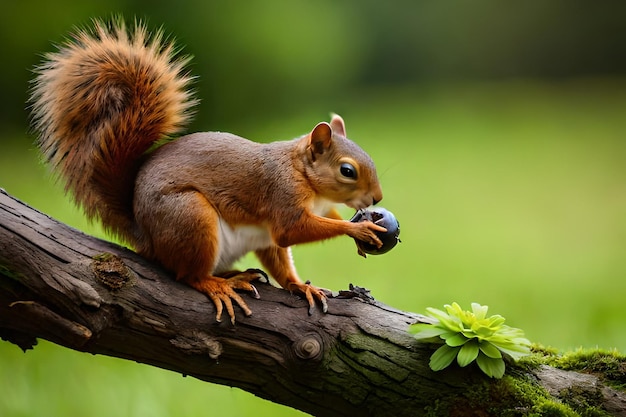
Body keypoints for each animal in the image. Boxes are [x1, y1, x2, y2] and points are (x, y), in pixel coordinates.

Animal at [30, 19, 386, 324]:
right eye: (347, 170)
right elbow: (293, 230)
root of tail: (144, 235)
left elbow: (313, 231)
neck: (307, 179)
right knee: (188, 275)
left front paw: (317, 268)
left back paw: (256, 278)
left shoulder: (308, 213)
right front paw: (358, 229)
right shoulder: (281, 195)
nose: (378, 198)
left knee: (270, 264)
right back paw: (219, 284)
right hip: (190, 216)